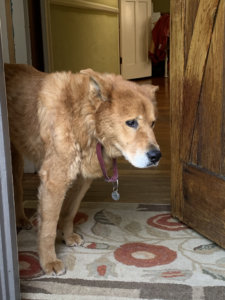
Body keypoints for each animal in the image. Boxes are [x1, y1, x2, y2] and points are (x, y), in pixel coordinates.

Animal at [4, 64, 160, 276]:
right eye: (131, 122)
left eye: (152, 123)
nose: (157, 156)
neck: (86, 120)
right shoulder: (54, 182)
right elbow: (48, 228)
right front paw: (48, 261)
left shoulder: (82, 181)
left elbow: (70, 212)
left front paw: (67, 237)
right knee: (17, 190)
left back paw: (21, 219)